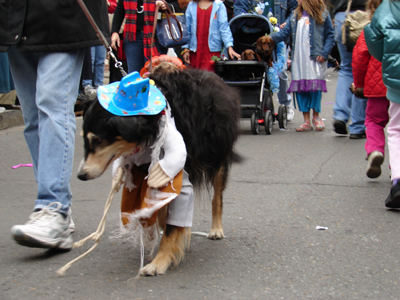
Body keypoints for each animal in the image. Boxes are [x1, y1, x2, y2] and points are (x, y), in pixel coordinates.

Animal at [77, 64, 242, 276]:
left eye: (97, 140)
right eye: (83, 138)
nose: (81, 175)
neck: (150, 121)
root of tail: (213, 76)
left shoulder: (178, 173)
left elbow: (173, 225)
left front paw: (159, 262)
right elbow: (162, 212)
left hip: (217, 157)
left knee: (217, 197)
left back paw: (216, 229)